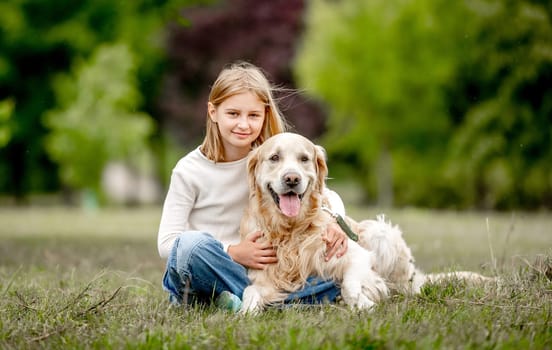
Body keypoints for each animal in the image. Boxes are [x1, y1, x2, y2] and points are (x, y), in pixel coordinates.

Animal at [242, 133, 492, 314]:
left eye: (304, 159)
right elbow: (250, 292)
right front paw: (245, 313)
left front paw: (364, 303)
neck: (291, 230)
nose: (292, 179)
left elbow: (350, 285)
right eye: (274, 158)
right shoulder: (263, 275)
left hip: (378, 231)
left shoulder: (355, 254)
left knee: (404, 287)